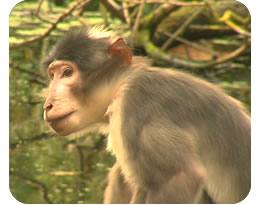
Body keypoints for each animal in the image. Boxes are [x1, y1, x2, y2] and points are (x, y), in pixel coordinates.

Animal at [42, 27, 250, 203]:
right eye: (52, 75)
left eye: (67, 73)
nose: (48, 105)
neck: (122, 84)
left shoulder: (138, 108)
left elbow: (183, 176)